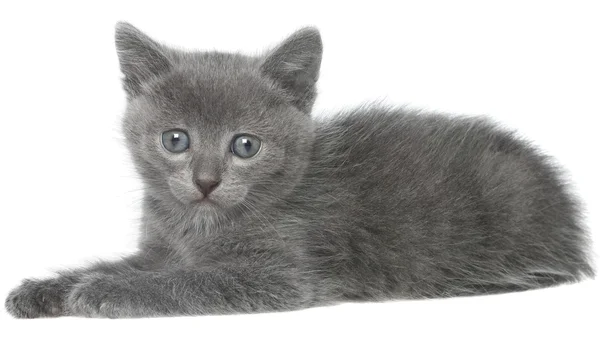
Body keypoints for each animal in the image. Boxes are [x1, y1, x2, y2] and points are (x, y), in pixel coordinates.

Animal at [5, 22, 596, 316]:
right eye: (176, 140)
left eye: (245, 146)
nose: (205, 181)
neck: (196, 225)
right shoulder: (159, 249)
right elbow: (135, 265)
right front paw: (45, 289)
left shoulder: (283, 276)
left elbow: (188, 280)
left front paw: (104, 291)